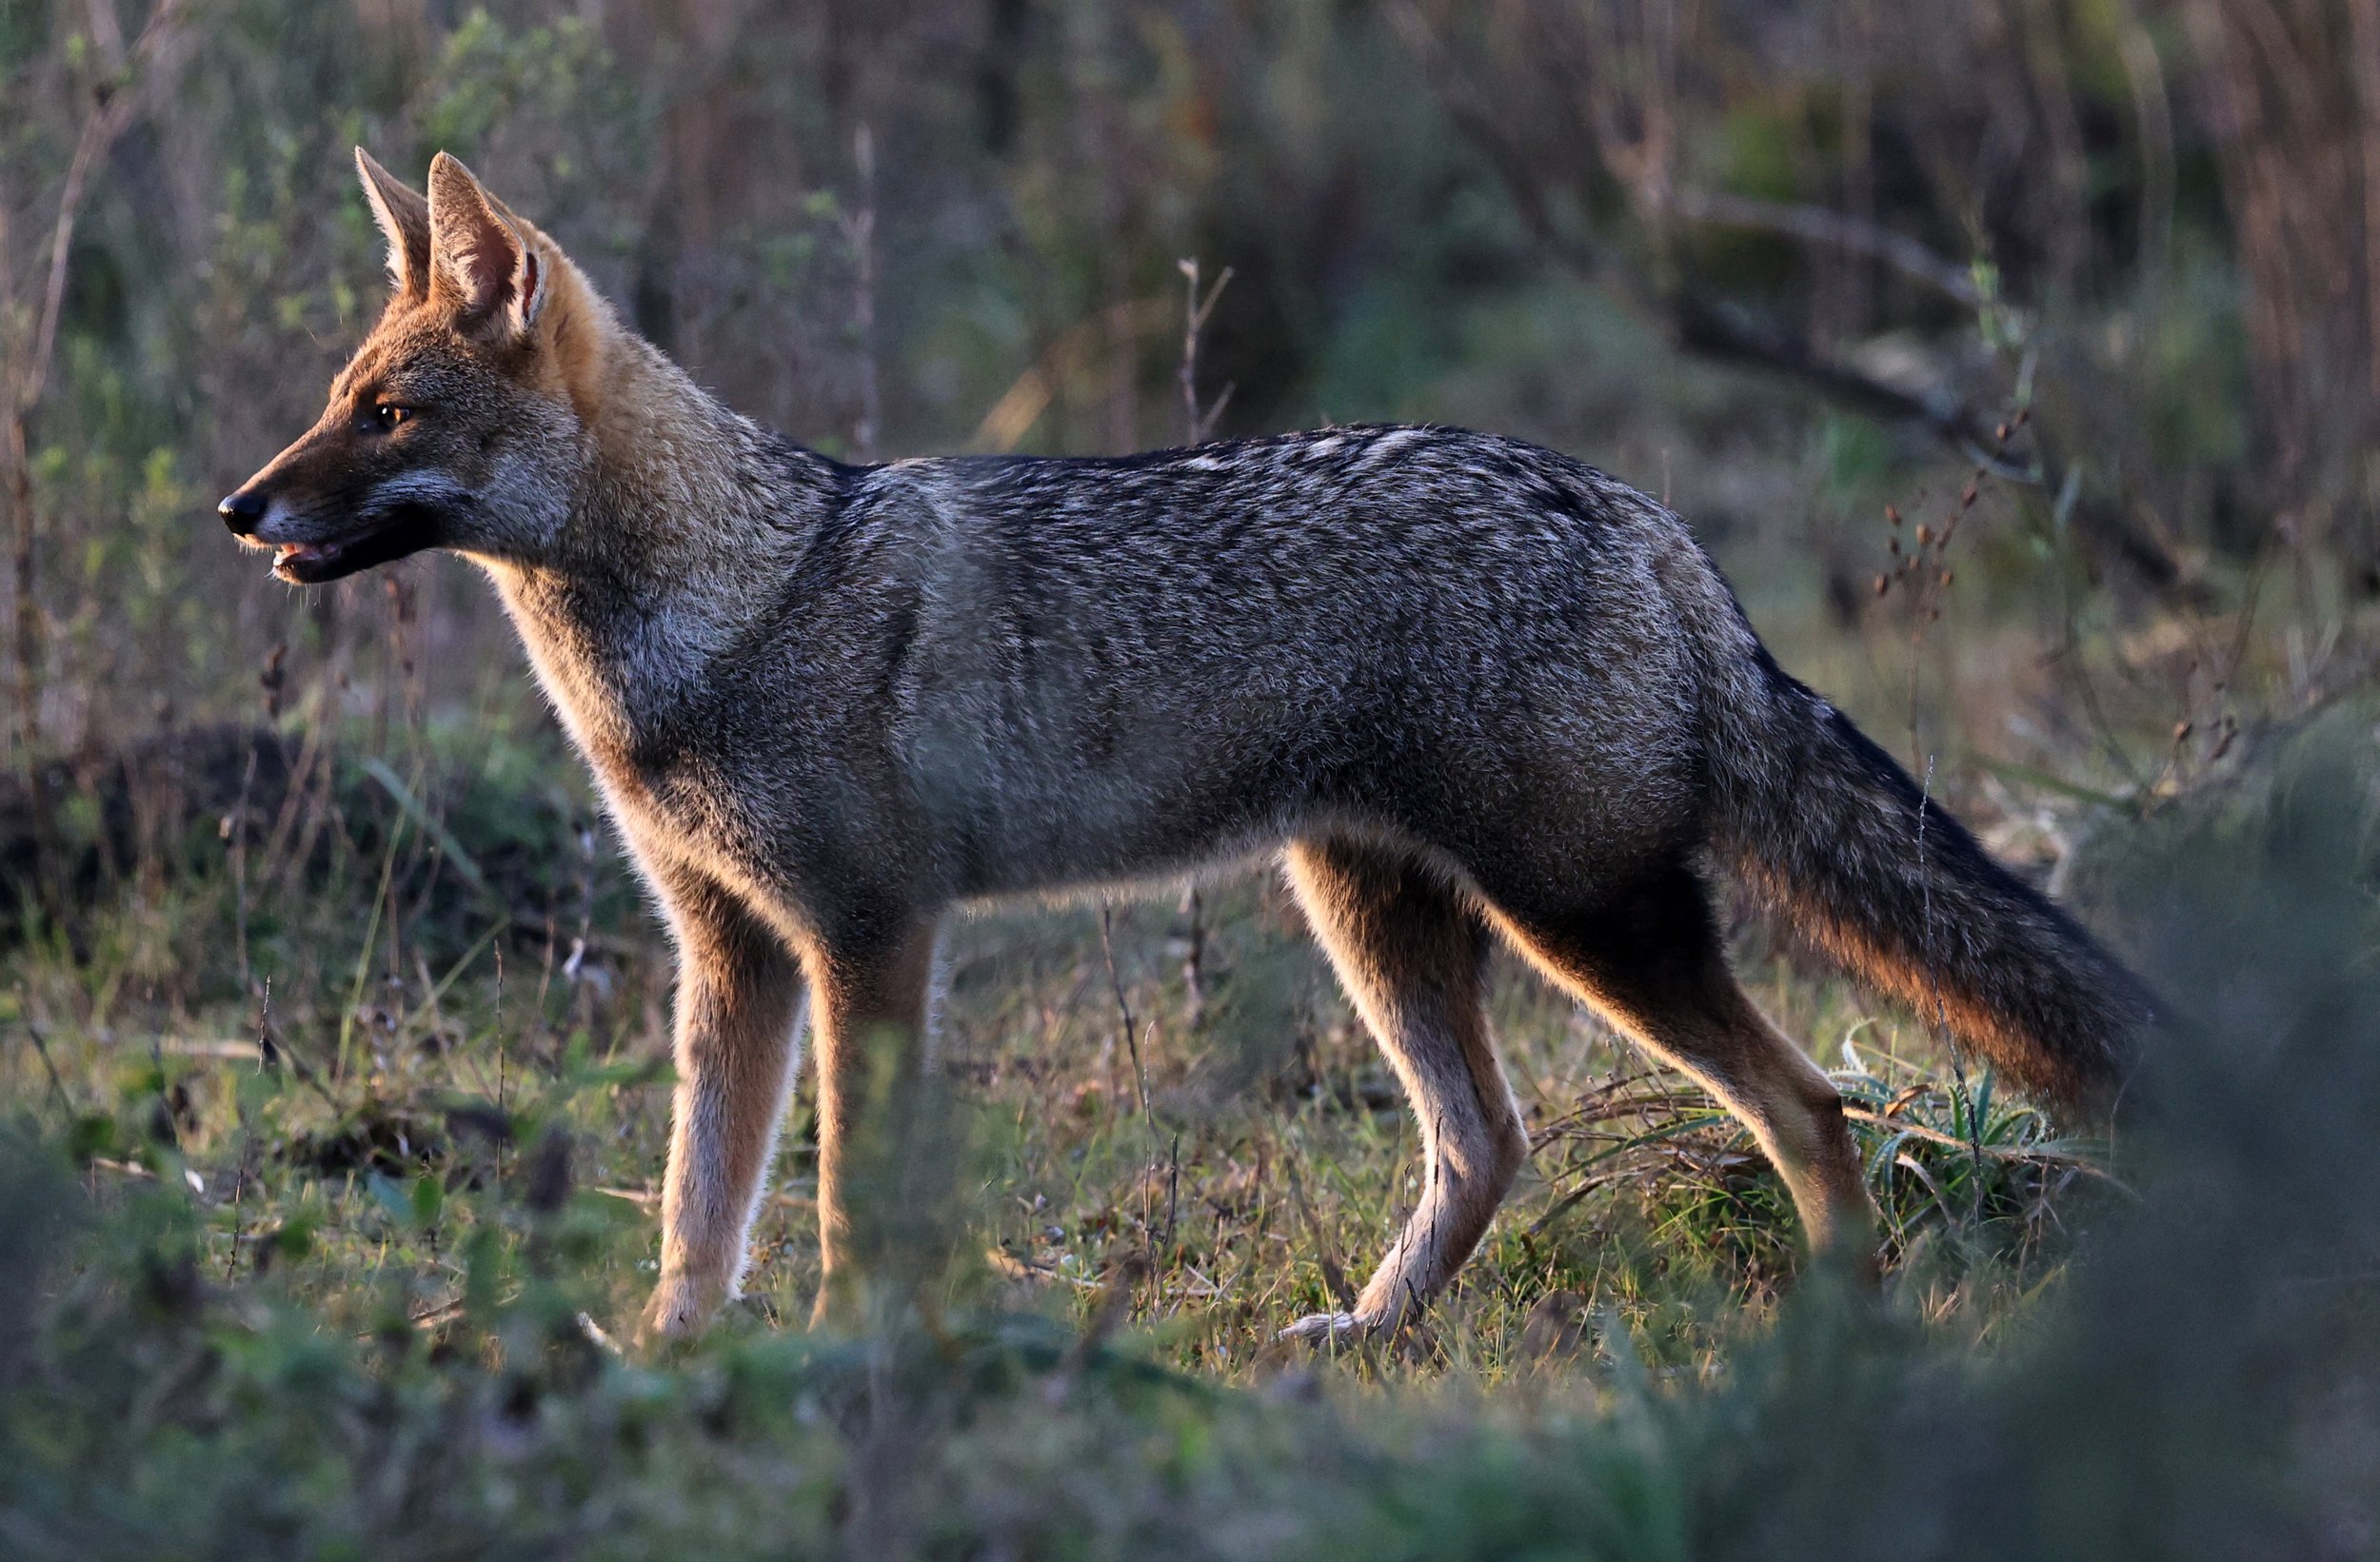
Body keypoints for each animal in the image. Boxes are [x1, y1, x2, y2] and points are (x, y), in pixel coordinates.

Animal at [221, 150, 2152, 1344]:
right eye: (334, 402)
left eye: (385, 414)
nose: (240, 510)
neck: (729, 601)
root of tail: (1641, 515)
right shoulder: (732, 953)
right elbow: (702, 1208)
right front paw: (673, 1360)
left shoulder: (866, 937)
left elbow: (844, 1198)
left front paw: (846, 1356)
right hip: (1374, 913)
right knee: (1489, 1142)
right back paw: (1366, 1332)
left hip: (1585, 922)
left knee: (1812, 1108)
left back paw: (1842, 1334)